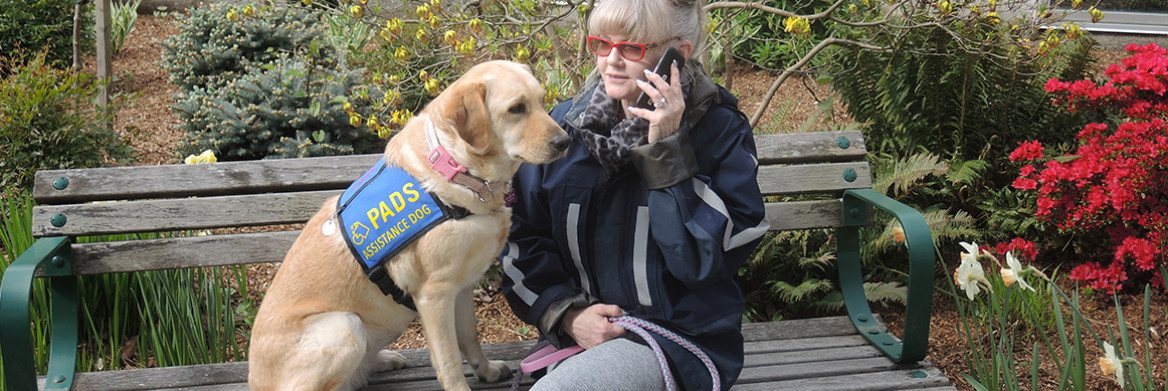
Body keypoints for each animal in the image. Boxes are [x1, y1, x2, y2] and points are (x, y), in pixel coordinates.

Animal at [251, 61, 569, 391]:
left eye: (542, 101)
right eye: (516, 108)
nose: (565, 141)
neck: (457, 169)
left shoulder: (463, 286)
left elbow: (469, 337)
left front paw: (487, 371)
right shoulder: (434, 295)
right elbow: (449, 359)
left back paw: (382, 360)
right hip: (344, 326)